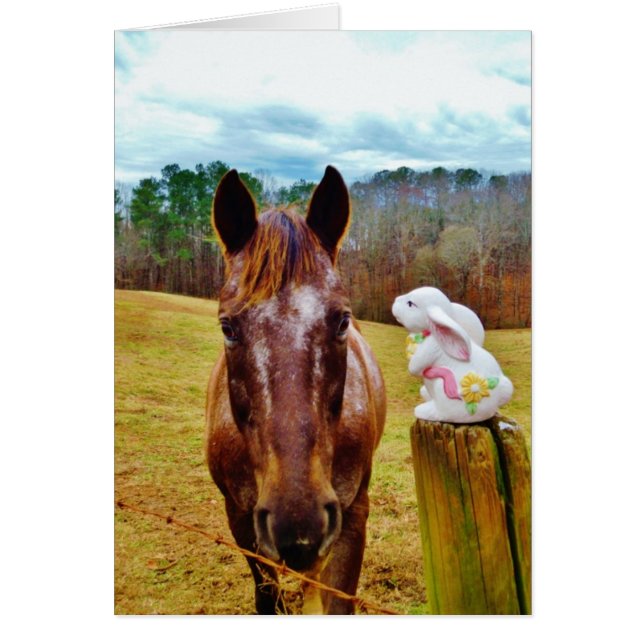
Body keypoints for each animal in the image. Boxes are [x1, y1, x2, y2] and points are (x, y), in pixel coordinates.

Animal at [205, 166, 386, 614]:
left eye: (342, 320)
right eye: (227, 327)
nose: (298, 523)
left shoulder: (352, 515)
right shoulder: (241, 518)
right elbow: (267, 598)